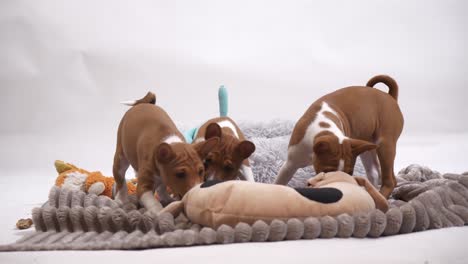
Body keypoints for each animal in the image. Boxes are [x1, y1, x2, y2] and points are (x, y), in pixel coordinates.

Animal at [276, 75, 404, 198]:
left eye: (349, 174)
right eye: (327, 171)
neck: (324, 127)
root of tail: (390, 97)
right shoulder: (290, 164)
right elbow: (279, 183)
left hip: (385, 144)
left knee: (390, 181)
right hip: (366, 145)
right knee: (374, 172)